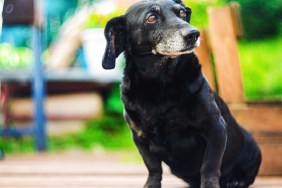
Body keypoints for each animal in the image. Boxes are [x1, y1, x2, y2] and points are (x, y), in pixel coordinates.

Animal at [102, 0, 262, 187]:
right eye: (151, 17)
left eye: (182, 13)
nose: (194, 34)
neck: (160, 86)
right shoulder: (140, 138)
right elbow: (153, 167)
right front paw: (151, 184)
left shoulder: (215, 128)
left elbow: (209, 166)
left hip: (252, 146)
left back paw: (236, 180)